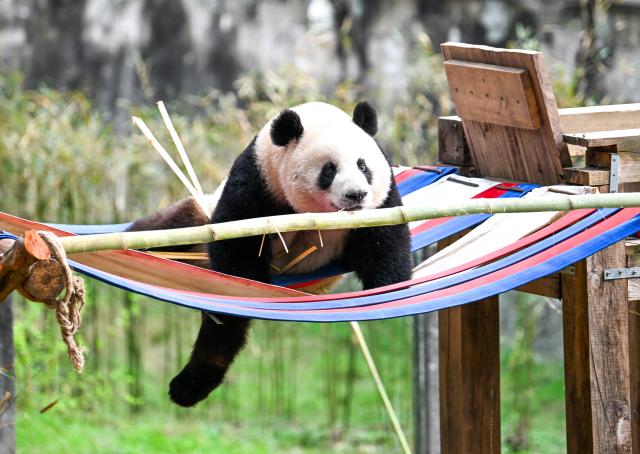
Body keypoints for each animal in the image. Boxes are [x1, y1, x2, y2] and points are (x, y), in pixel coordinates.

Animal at [128, 101, 412, 407]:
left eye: (363, 165)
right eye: (329, 170)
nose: (356, 195)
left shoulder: (383, 201)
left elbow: (385, 243)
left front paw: (387, 293)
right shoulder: (258, 183)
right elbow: (236, 247)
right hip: (195, 223)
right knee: (169, 231)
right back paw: (187, 386)